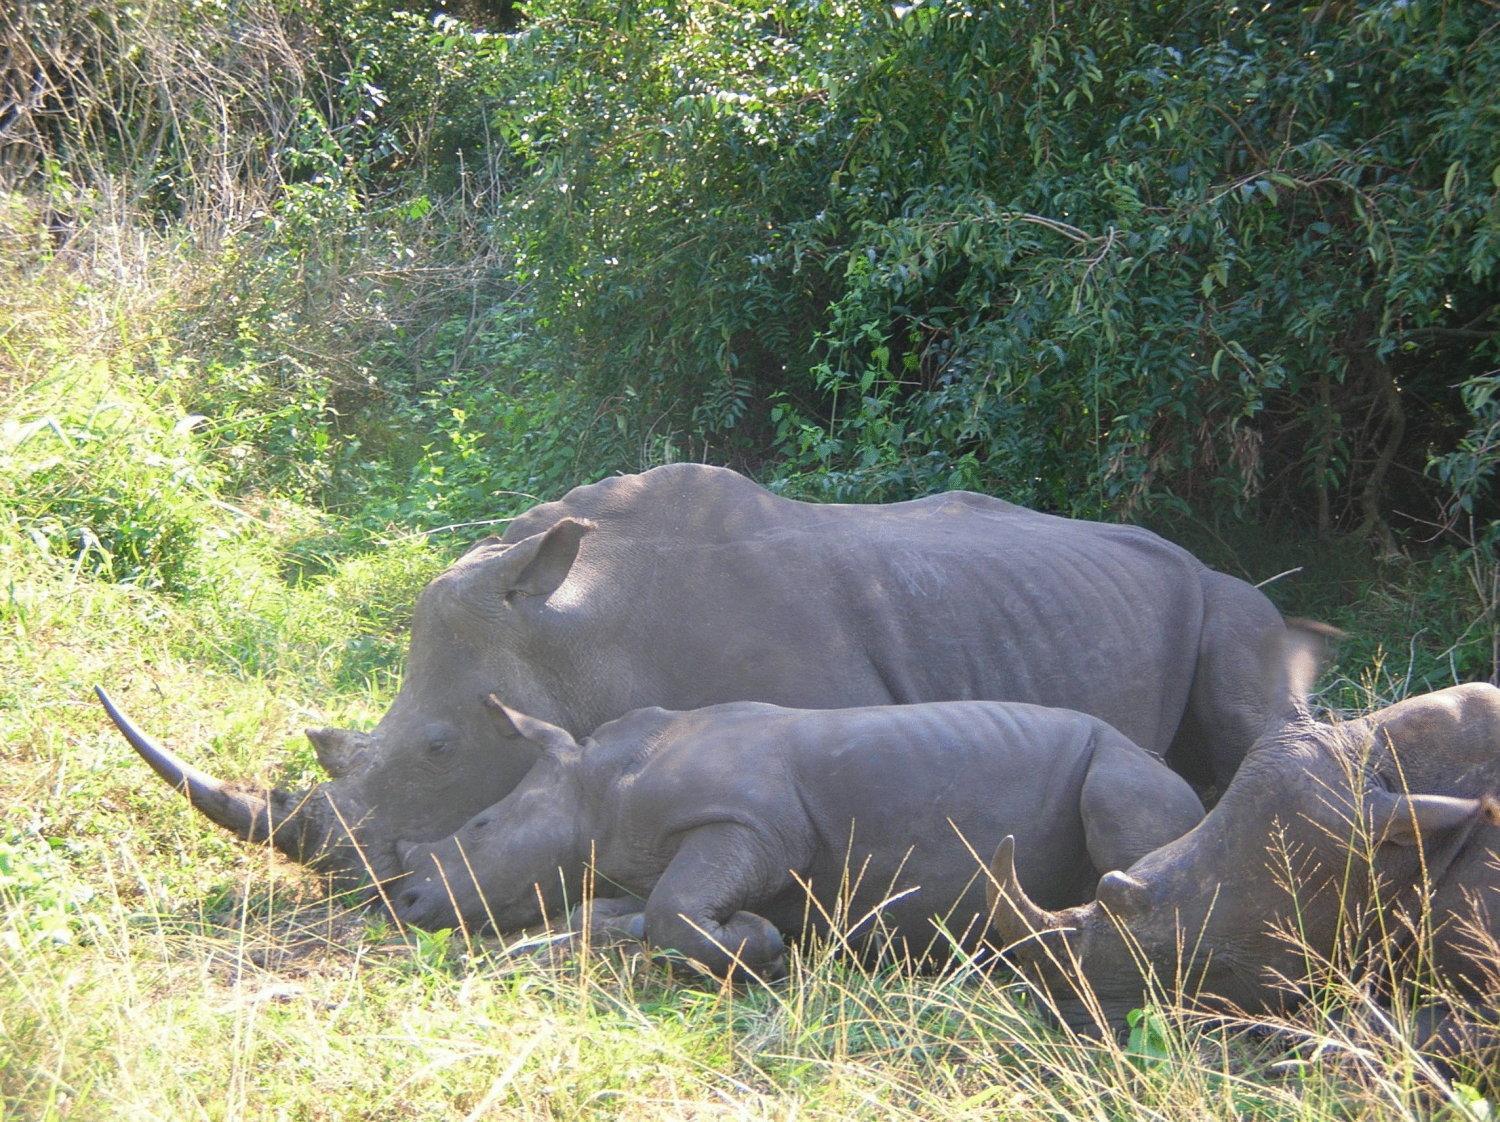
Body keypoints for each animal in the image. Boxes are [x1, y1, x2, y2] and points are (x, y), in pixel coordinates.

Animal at [393, 696, 1200, 978]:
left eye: (480, 826)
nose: (408, 902)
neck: (599, 783)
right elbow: (609, 912)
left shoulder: (753, 824)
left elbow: (674, 908)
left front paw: (761, 945)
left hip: (1123, 767)